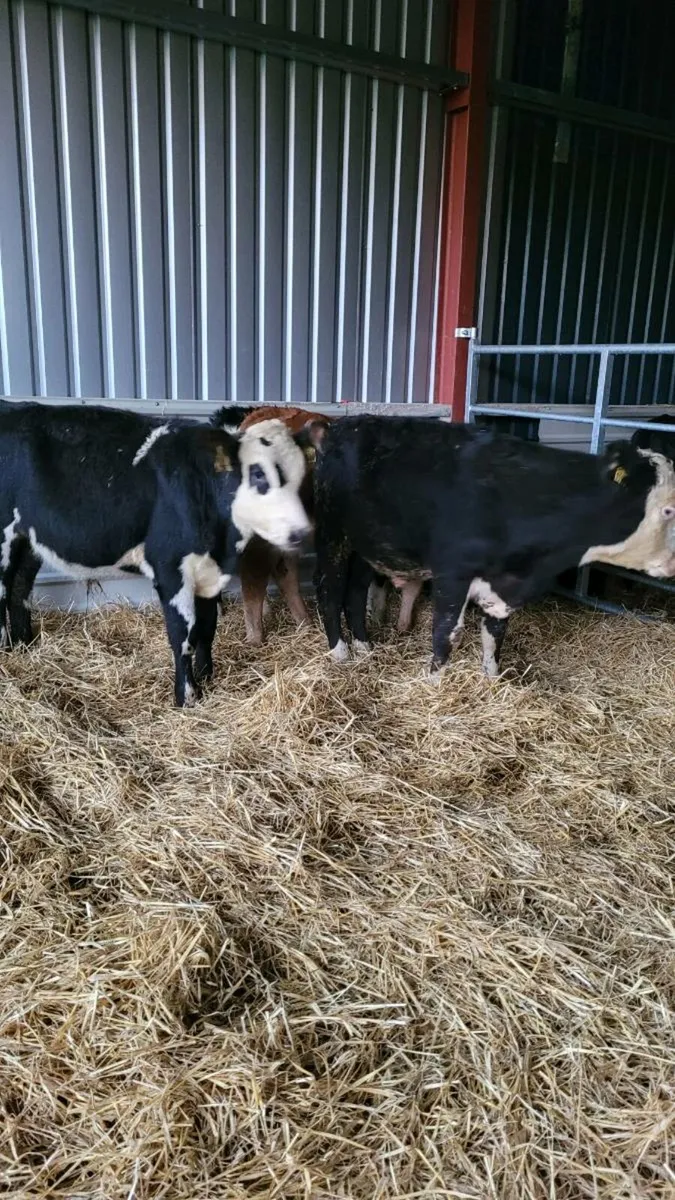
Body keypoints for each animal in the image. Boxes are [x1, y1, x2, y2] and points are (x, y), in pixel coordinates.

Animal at [0, 403, 311, 706]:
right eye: (258, 473)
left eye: (302, 476)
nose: (301, 532)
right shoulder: (171, 568)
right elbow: (182, 633)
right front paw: (187, 696)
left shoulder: (209, 570)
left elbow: (207, 627)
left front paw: (206, 676)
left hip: (27, 540)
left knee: (20, 587)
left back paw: (25, 644)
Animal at [303, 414, 675, 677]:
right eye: (669, 509)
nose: (673, 564)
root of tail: (338, 426)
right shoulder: (453, 572)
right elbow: (446, 633)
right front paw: (434, 682)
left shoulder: (503, 585)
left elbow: (495, 632)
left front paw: (492, 677)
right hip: (334, 536)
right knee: (329, 589)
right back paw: (340, 651)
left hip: (368, 547)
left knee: (354, 592)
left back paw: (364, 645)